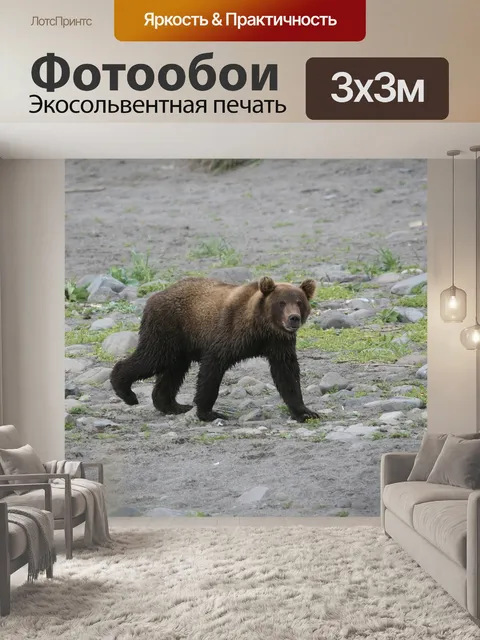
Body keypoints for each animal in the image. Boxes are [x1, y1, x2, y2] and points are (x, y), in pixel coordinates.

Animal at [109, 276, 320, 423]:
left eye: (299, 302)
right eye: (281, 303)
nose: (293, 318)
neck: (260, 327)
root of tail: (155, 296)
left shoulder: (279, 343)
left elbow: (287, 374)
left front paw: (306, 412)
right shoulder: (229, 333)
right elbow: (212, 369)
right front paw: (208, 412)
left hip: (181, 344)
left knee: (173, 370)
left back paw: (174, 405)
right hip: (169, 328)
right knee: (152, 358)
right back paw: (126, 392)